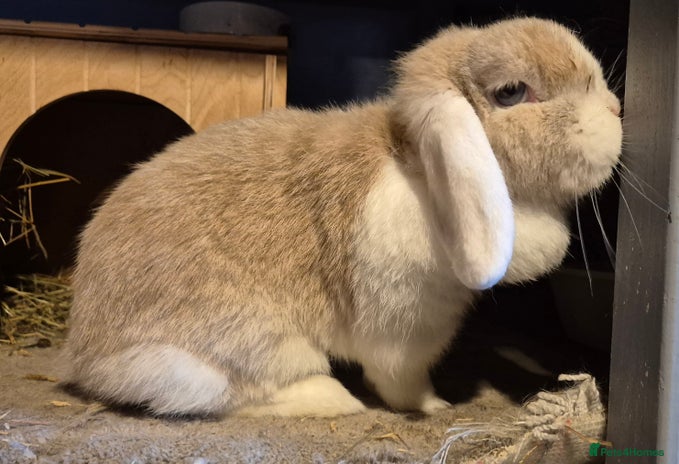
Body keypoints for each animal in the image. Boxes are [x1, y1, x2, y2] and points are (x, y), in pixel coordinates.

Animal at [64, 17, 622, 417]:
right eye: (511, 92)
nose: (617, 111)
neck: (418, 169)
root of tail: (86, 352)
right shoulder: (405, 326)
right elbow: (402, 379)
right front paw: (435, 406)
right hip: (243, 342)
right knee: (226, 391)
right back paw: (334, 400)